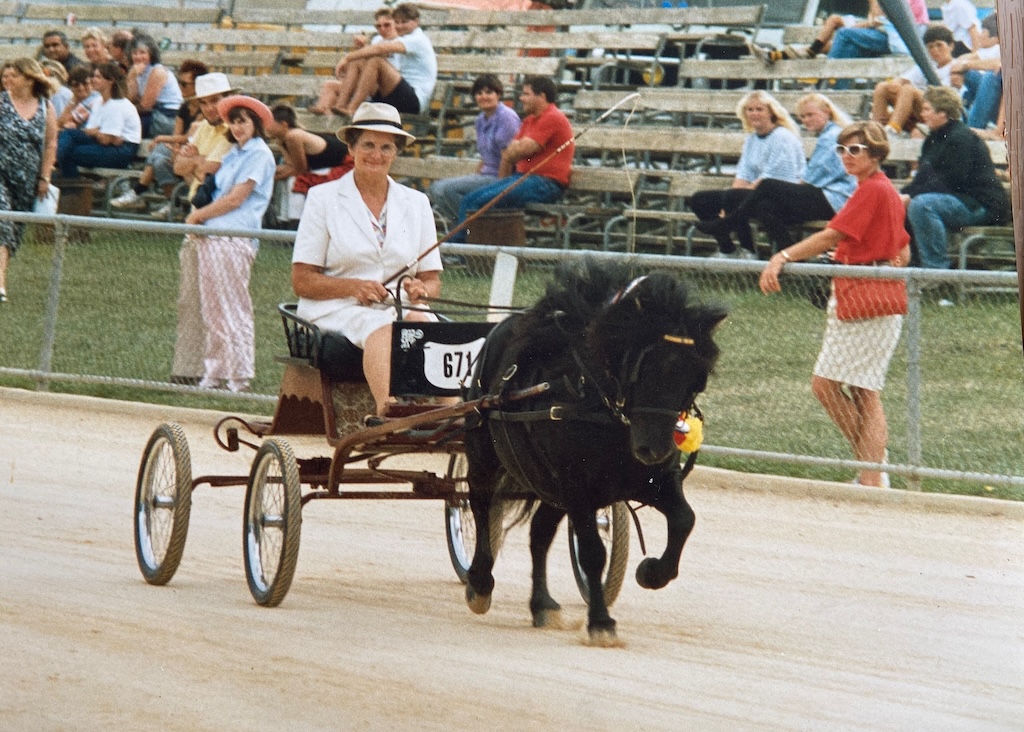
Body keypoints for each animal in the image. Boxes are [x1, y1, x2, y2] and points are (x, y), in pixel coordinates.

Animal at [464, 255, 729, 642]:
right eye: (642, 366)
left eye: (695, 376)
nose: (652, 448)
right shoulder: (578, 486)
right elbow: (592, 552)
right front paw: (601, 622)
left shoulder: (650, 480)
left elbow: (684, 519)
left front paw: (652, 572)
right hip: (485, 455)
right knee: (482, 506)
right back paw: (480, 582)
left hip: (550, 485)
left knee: (539, 533)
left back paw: (542, 604)